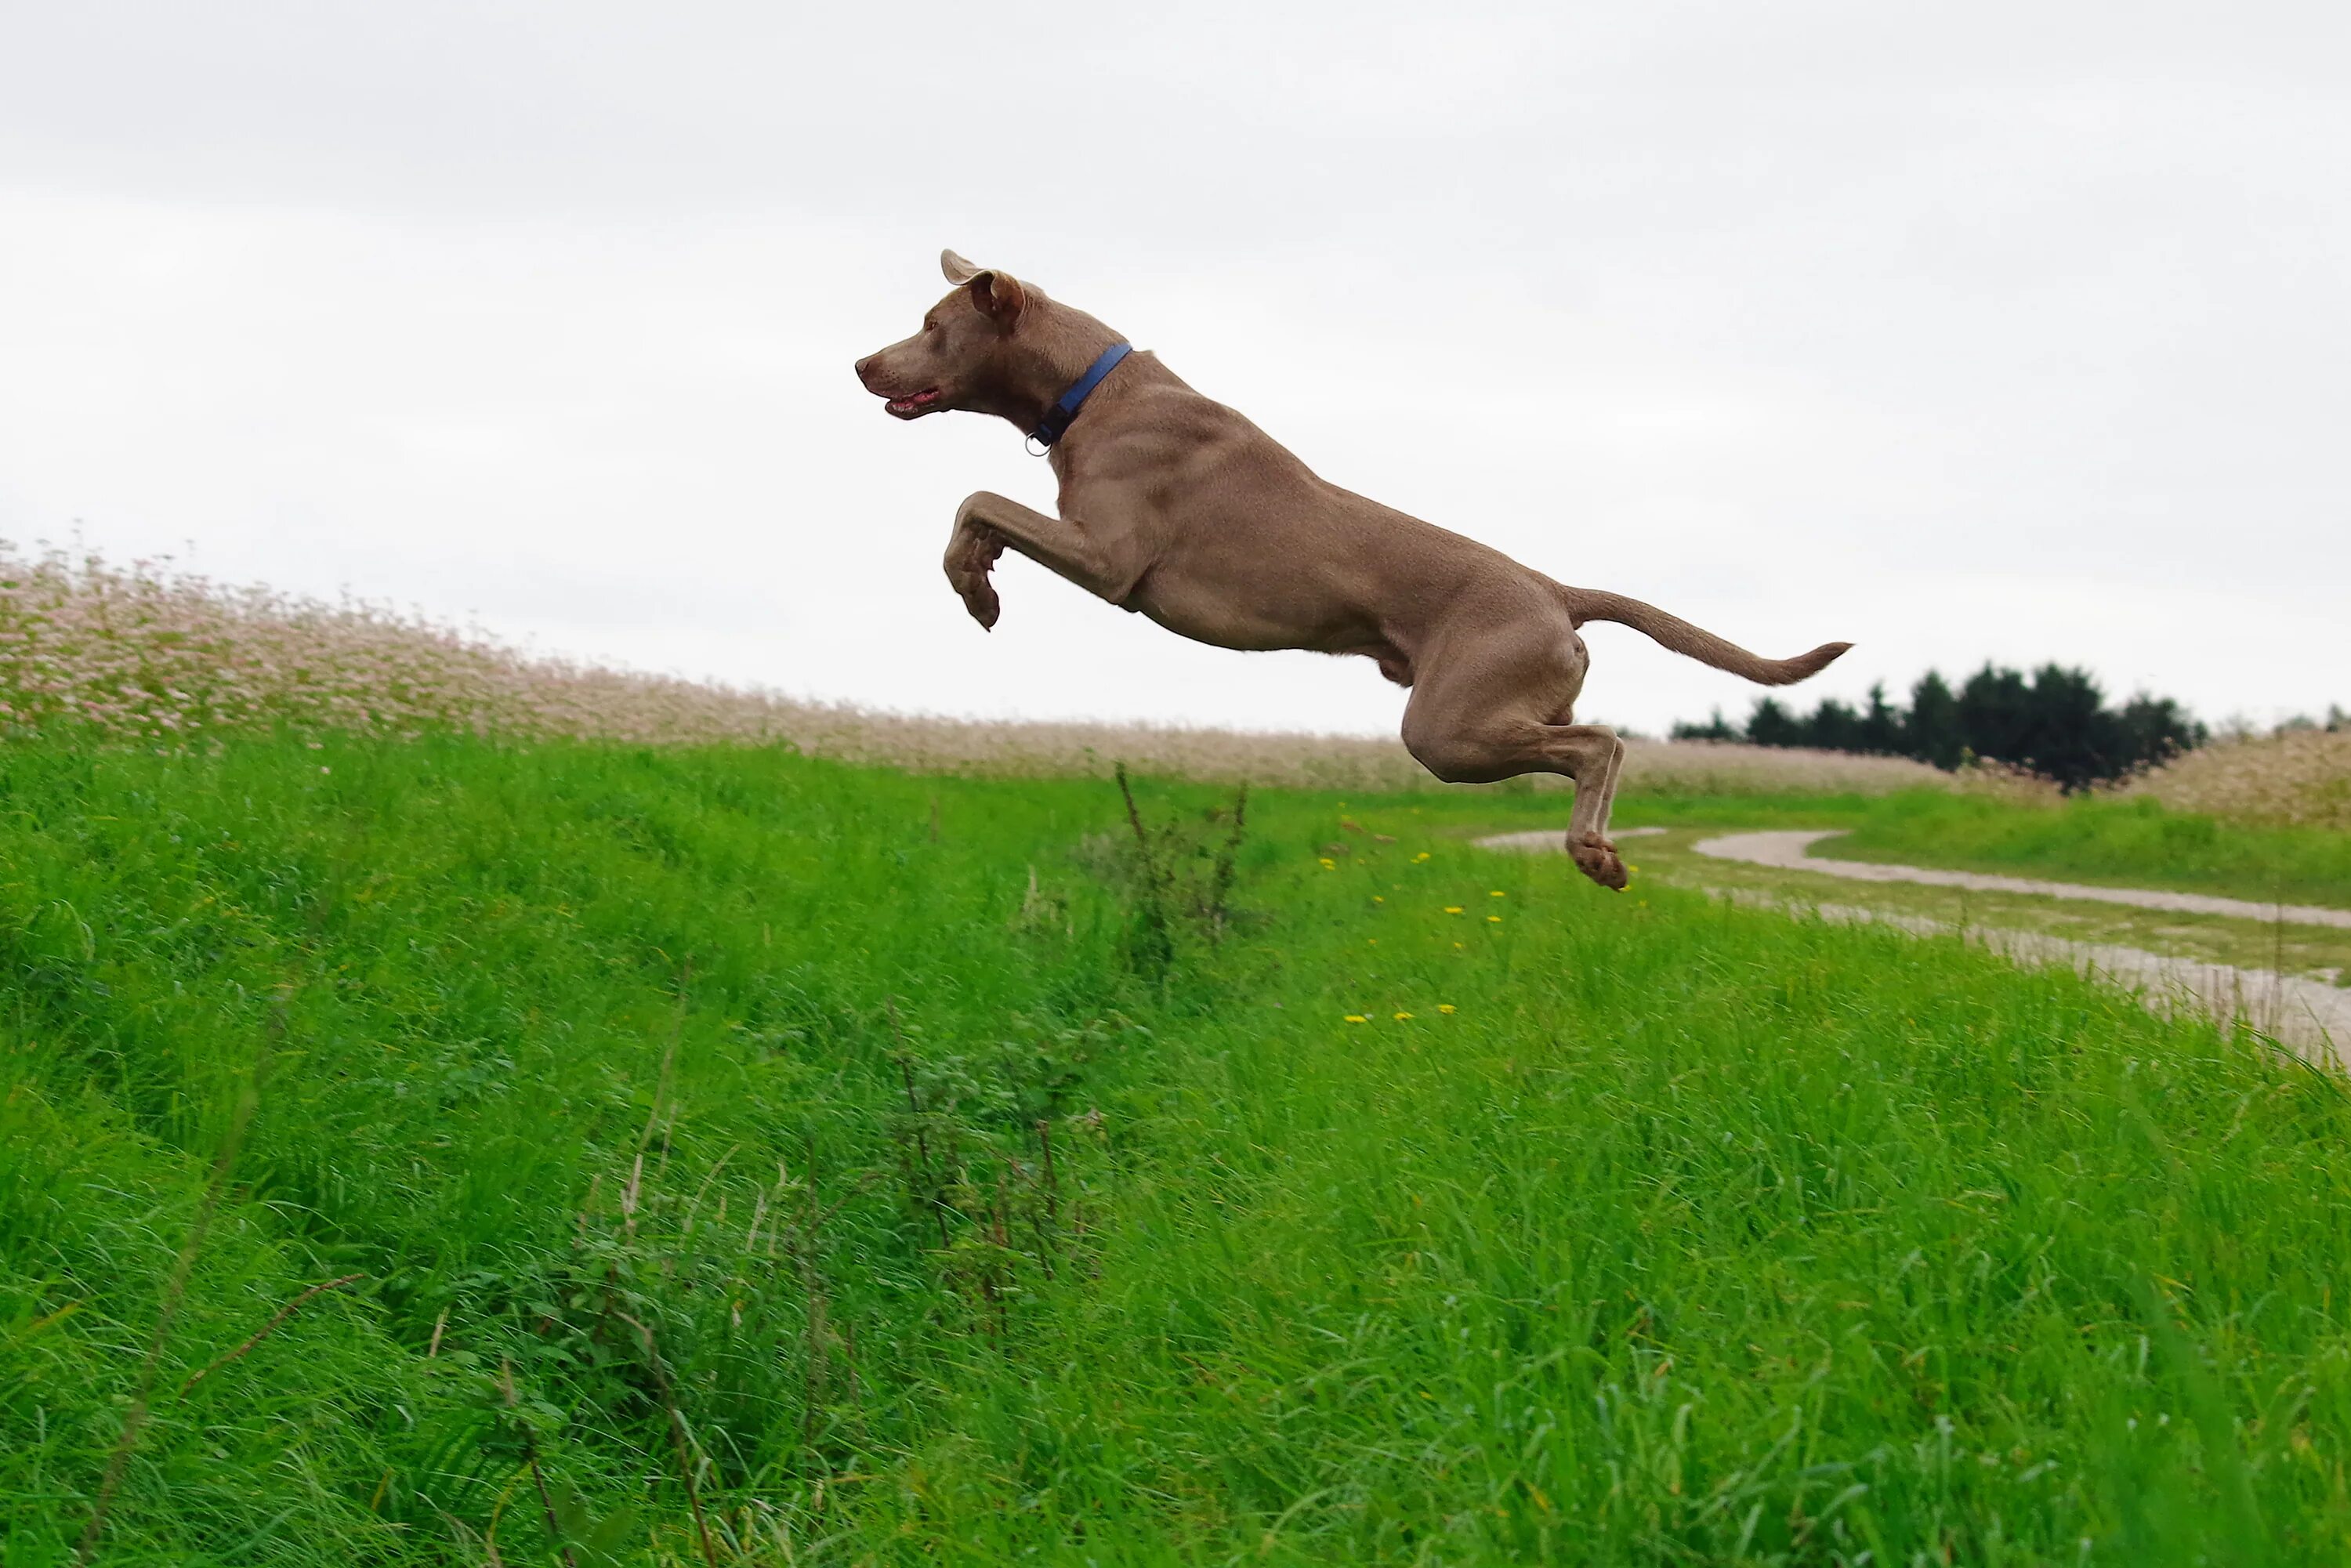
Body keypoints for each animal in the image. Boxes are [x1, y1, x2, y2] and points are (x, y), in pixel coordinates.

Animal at [851, 252, 1853, 889]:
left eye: (932, 325)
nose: (860, 363)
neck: (1089, 391)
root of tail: (1553, 589)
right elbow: (983, 511)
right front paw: (979, 574)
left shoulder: (1110, 560)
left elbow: (978, 497)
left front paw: (974, 585)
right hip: (1489, 715)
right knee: (1582, 739)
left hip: (1449, 725)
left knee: (1600, 744)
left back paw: (1596, 853)